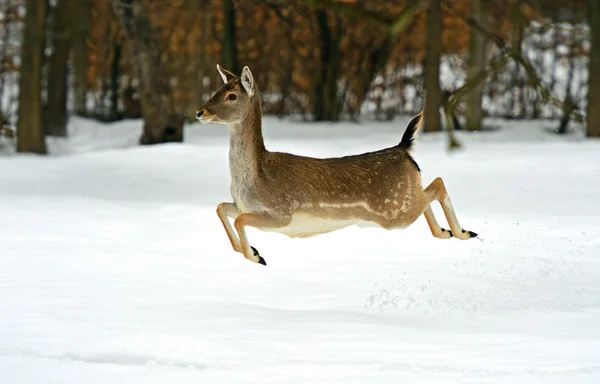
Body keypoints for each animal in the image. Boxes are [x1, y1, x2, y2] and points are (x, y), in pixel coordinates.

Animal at [197, 64, 478, 266]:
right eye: (217, 90)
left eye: (232, 95)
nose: (200, 112)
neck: (252, 178)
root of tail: (403, 148)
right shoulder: (243, 205)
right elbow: (222, 208)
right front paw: (250, 250)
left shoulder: (281, 212)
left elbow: (239, 219)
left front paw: (256, 256)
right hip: (403, 200)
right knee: (429, 189)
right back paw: (447, 231)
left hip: (394, 211)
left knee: (437, 184)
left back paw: (464, 232)